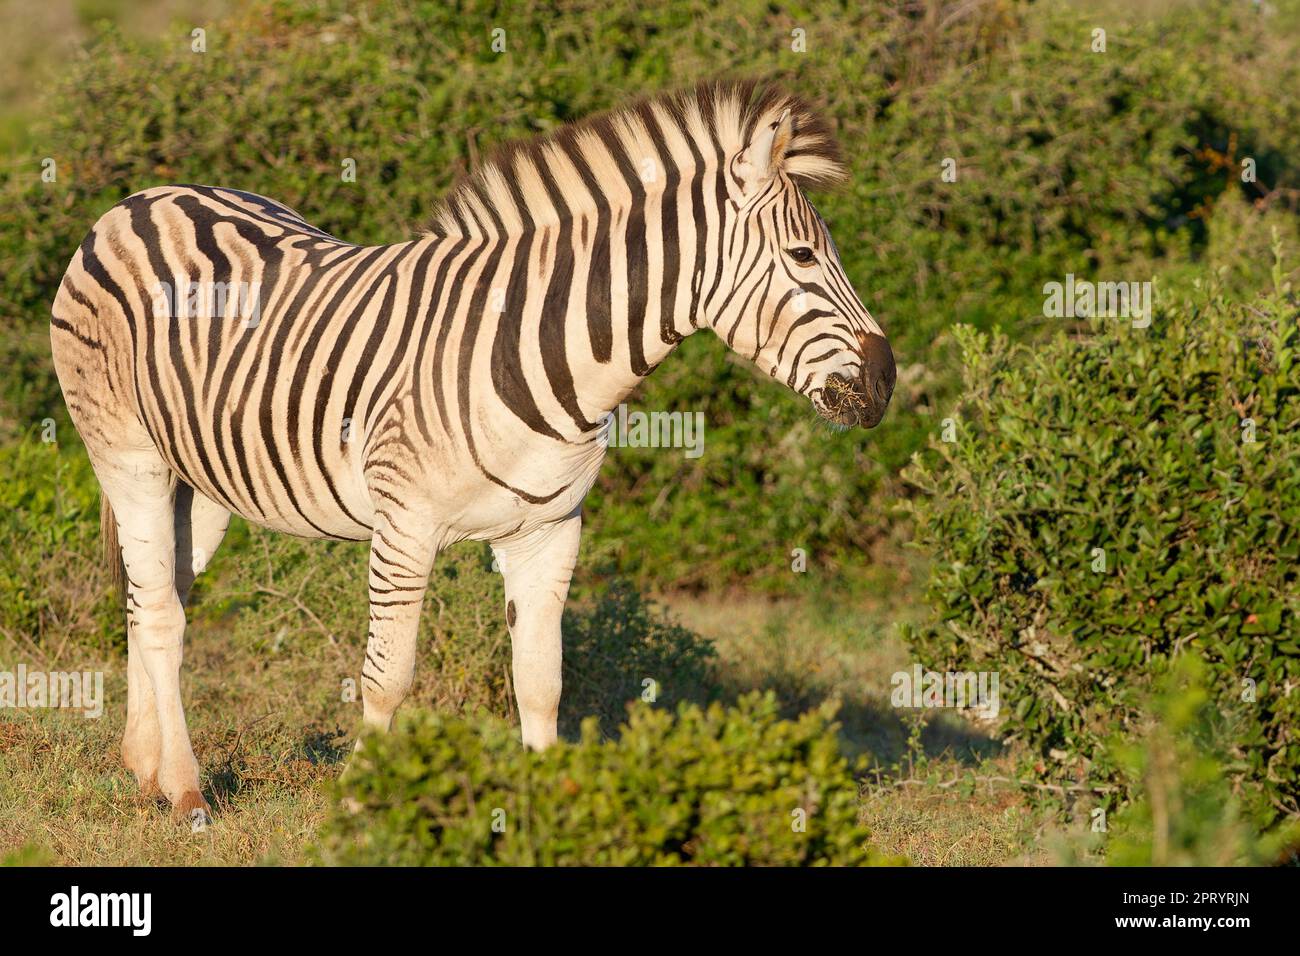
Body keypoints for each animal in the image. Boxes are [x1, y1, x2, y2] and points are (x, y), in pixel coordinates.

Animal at [53, 78, 894, 816]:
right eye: (804, 257)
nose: (887, 380)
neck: (541, 351)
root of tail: (145, 197)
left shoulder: (549, 531)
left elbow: (541, 681)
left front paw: (552, 810)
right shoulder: (404, 526)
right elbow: (388, 677)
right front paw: (359, 803)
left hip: (201, 480)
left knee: (152, 599)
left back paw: (146, 767)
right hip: (128, 456)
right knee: (162, 612)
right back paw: (186, 790)